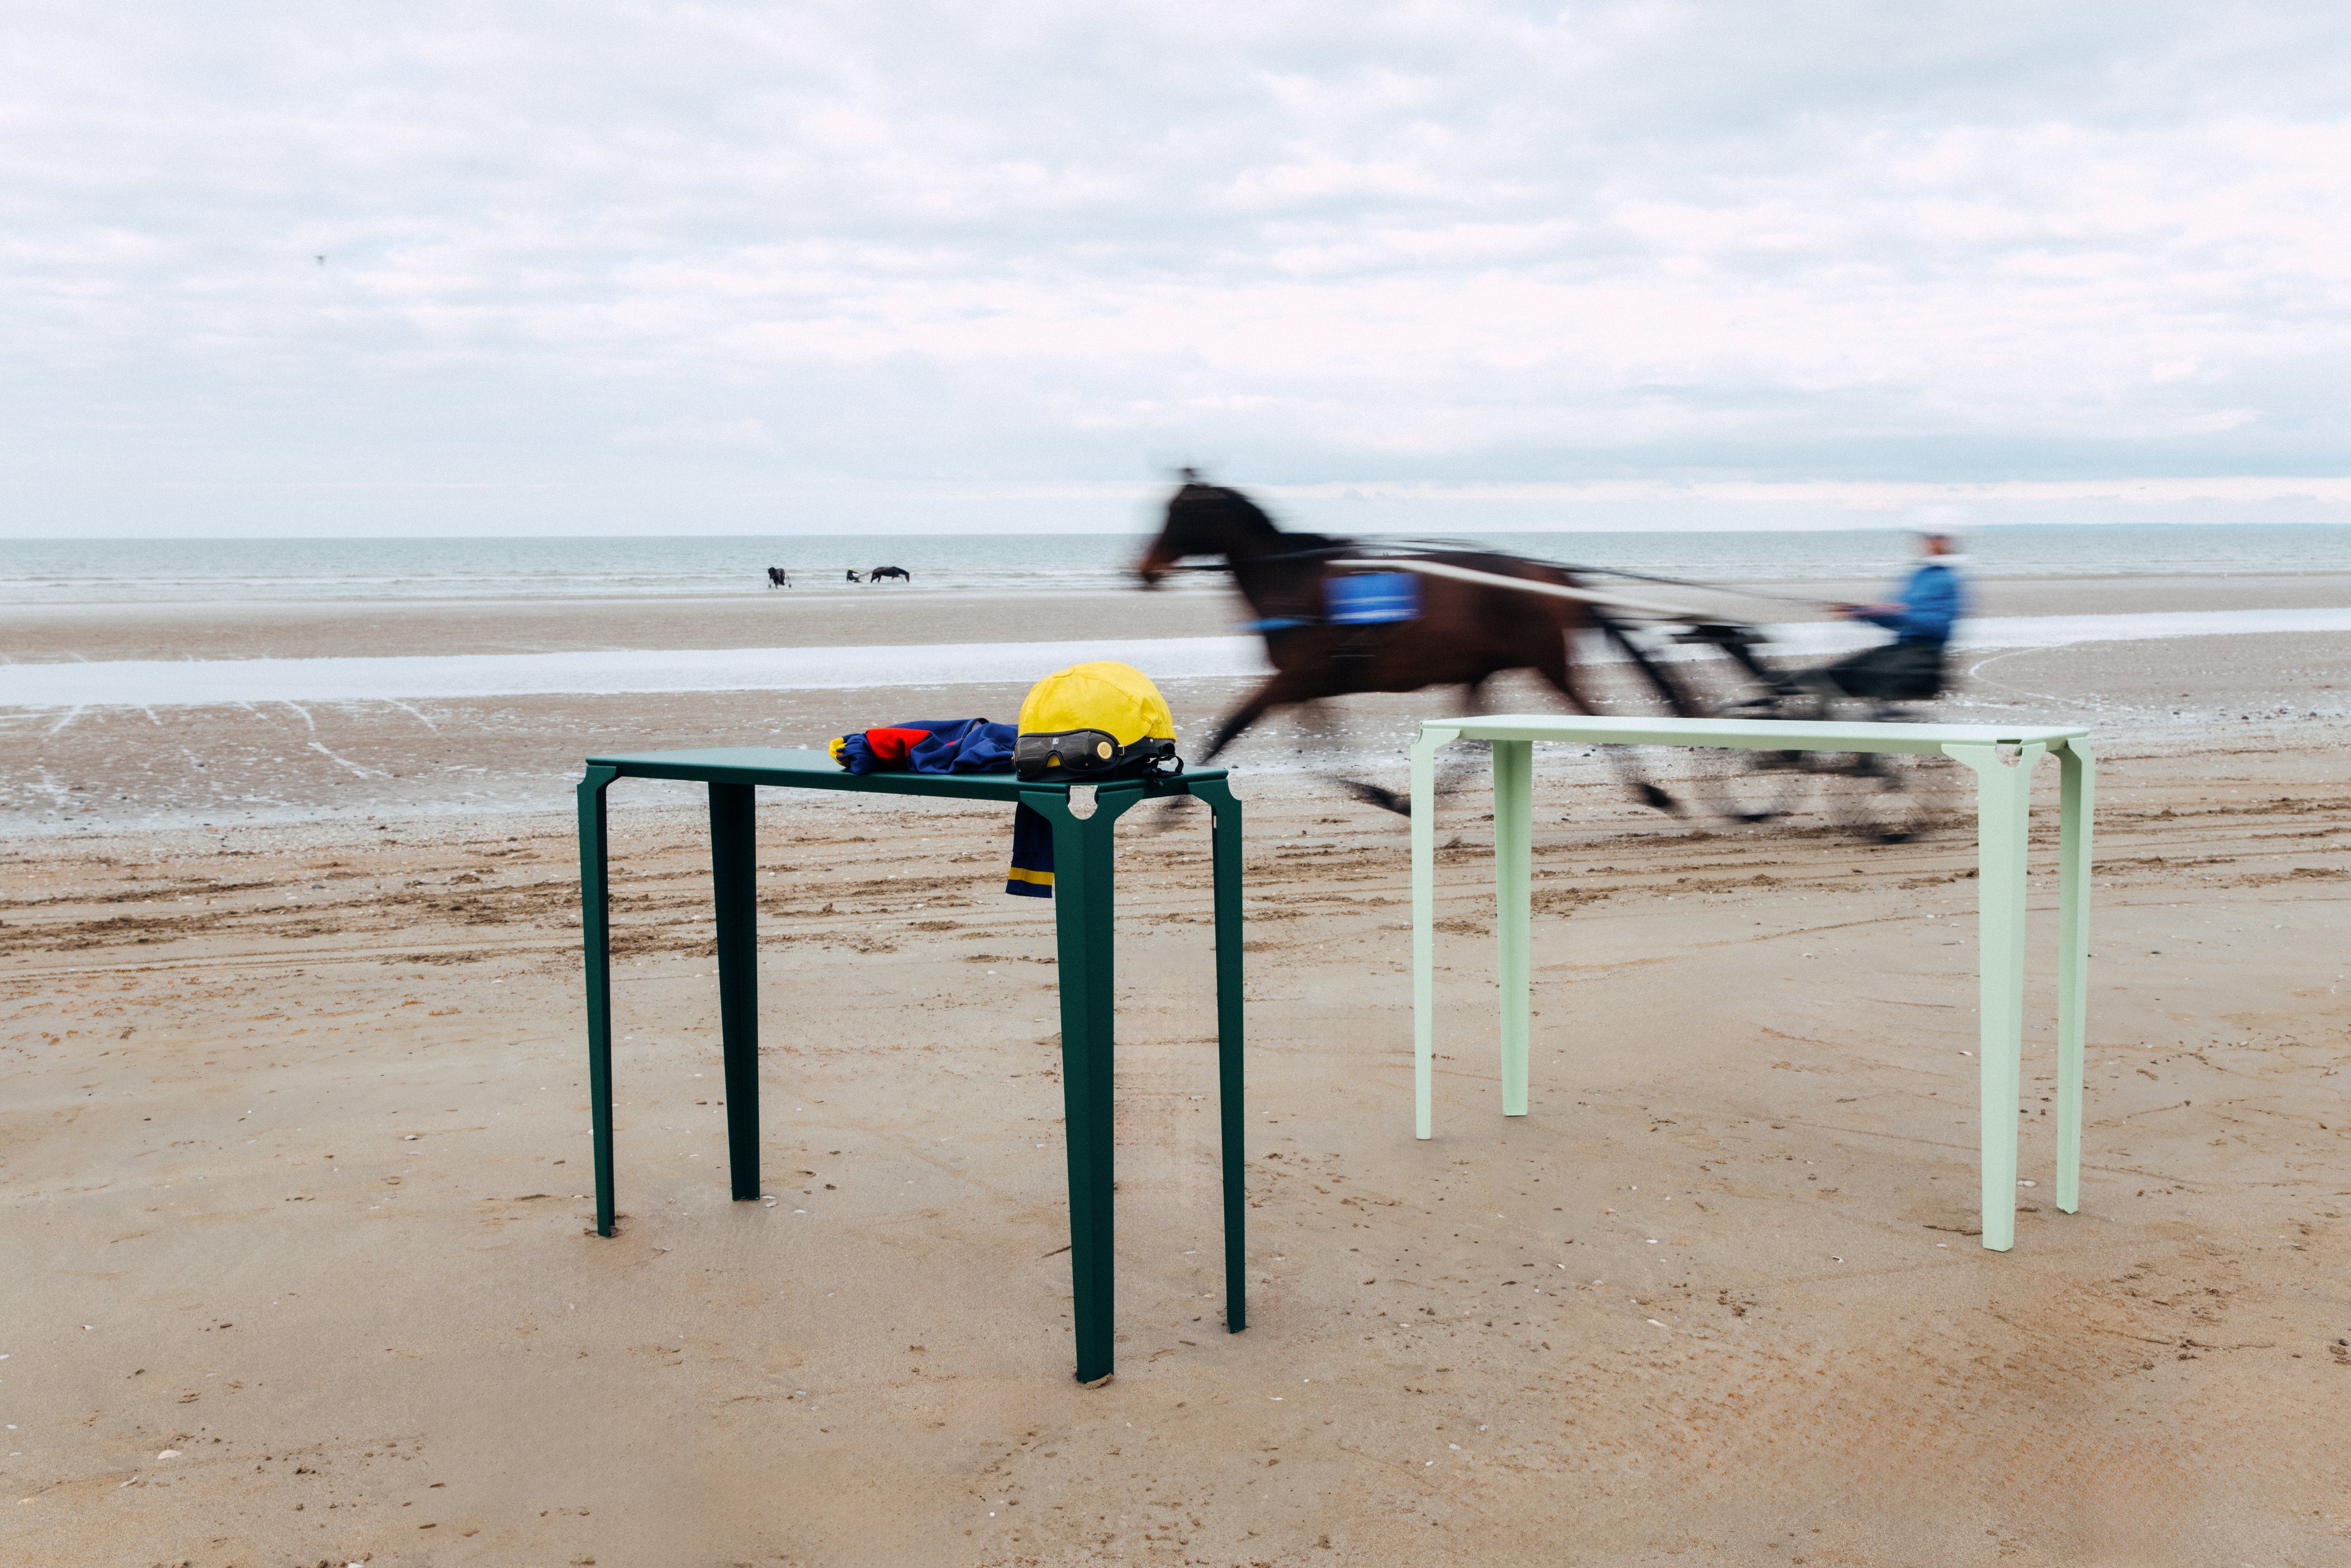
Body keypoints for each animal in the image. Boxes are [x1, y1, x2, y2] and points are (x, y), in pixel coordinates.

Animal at [1133, 475, 1693, 809]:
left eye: (1179, 514)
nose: (1144, 570)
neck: (1292, 579)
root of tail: (1549, 575)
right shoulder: (1304, 684)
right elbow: (1322, 746)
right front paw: (1380, 793)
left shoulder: (1294, 678)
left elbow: (1233, 725)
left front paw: (1173, 806)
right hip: (1482, 669)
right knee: (1476, 740)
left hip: (1546, 662)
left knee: (1590, 711)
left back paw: (1654, 792)